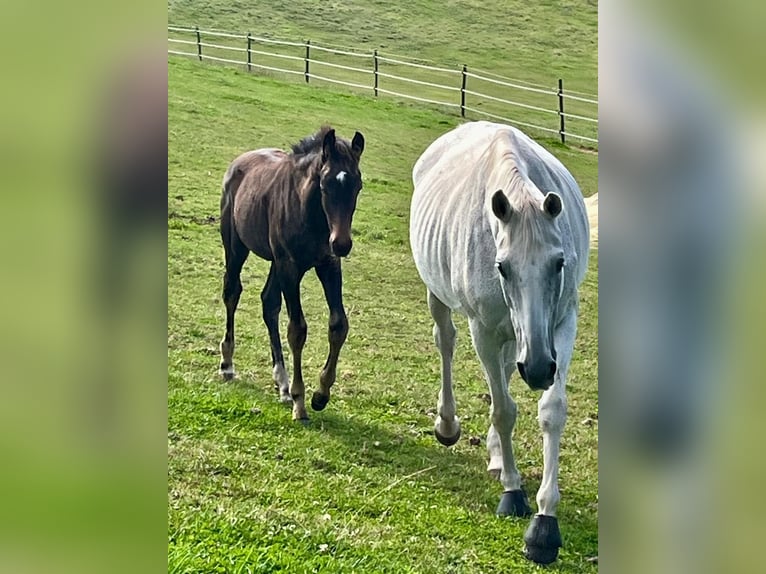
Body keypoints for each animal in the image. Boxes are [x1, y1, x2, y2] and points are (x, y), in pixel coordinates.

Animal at [220, 127, 368, 424]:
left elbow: (339, 324)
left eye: (357, 185)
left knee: (268, 303)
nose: (342, 243)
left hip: (276, 263)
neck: (312, 215)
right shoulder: (290, 266)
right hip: (236, 245)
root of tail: (238, 162)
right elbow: (297, 329)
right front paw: (301, 403)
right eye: (325, 184)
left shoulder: (328, 264)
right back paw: (228, 364)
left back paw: (282, 383)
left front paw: (321, 394)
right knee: (232, 291)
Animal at [412, 121, 592, 568]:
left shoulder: (562, 324)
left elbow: (551, 410)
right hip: (440, 299)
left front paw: (545, 522)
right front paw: (513, 493)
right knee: (447, 345)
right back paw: (448, 424)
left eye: (559, 263)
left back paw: (495, 454)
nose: (541, 369)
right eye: (502, 267)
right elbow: (504, 410)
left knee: (508, 371)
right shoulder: (485, 330)